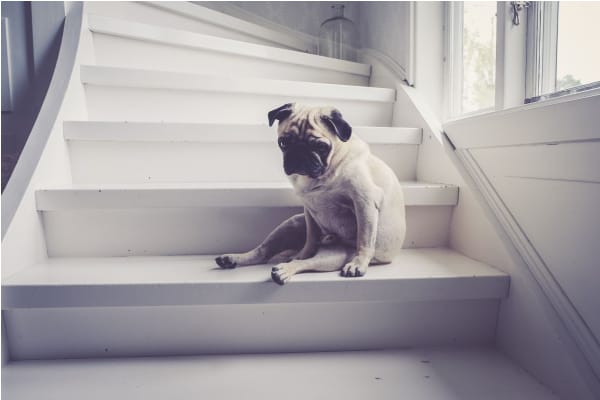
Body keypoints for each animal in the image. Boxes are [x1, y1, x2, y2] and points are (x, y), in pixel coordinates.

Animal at [213, 103, 406, 284]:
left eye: (320, 146)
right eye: (283, 143)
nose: (299, 152)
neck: (325, 172)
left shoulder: (364, 201)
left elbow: (365, 238)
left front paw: (359, 264)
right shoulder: (309, 210)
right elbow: (311, 238)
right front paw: (304, 252)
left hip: (335, 256)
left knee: (307, 263)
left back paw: (284, 271)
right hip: (291, 223)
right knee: (264, 252)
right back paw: (234, 259)